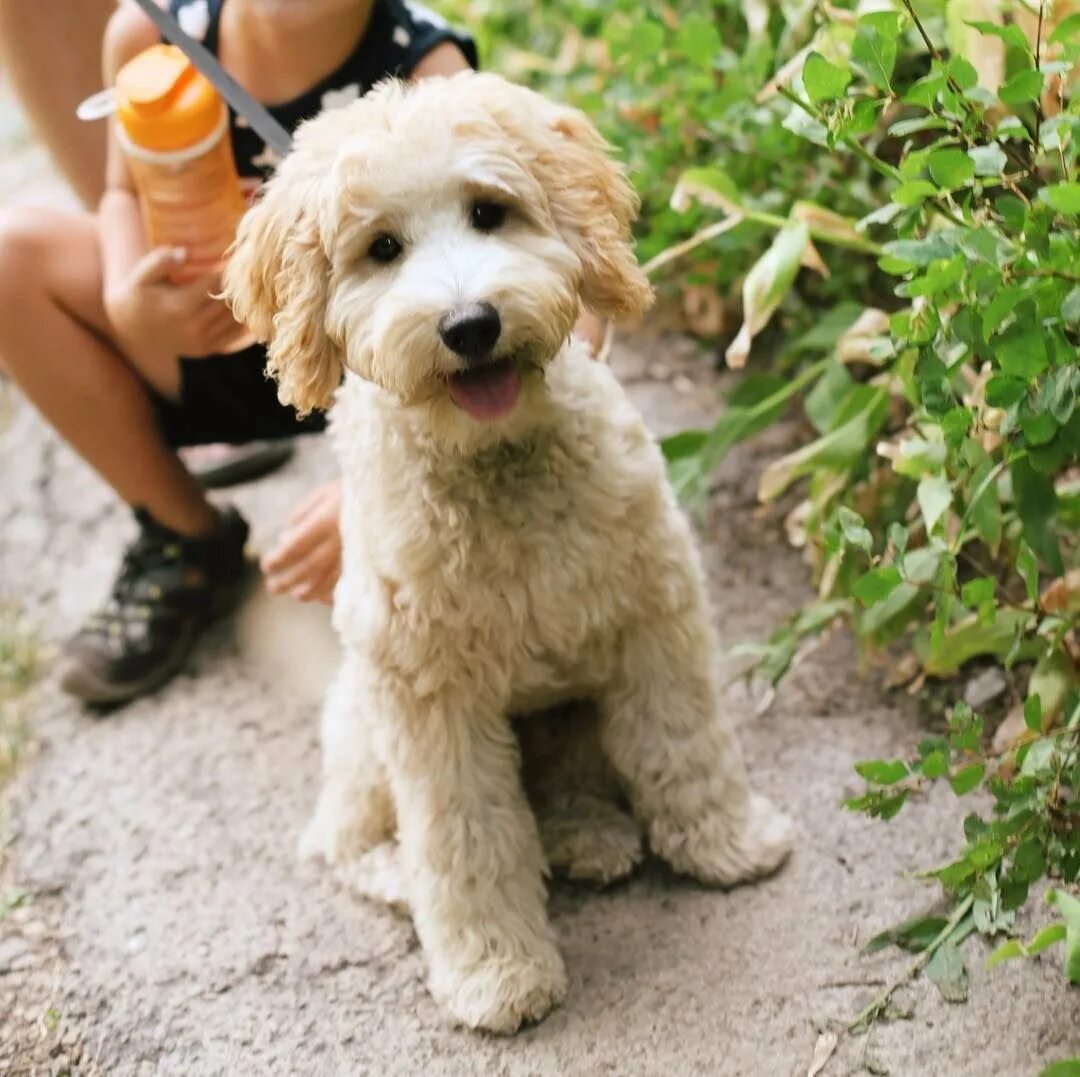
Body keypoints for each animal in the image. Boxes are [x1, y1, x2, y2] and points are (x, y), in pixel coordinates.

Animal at [221, 71, 794, 1037]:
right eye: (380, 248)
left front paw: (727, 840)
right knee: (341, 838)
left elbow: (685, 741)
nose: (469, 325)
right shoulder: (429, 698)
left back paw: (588, 835)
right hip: (366, 727)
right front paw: (496, 971)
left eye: (489, 212)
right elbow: (464, 837)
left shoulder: (655, 613)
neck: (496, 464)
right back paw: (400, 876)